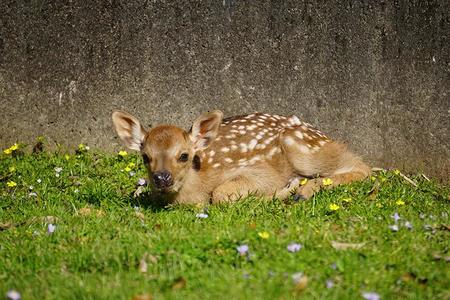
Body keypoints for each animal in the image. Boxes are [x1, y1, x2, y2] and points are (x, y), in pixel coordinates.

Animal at [111, 110, 370, 204]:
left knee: (361, 166)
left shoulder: (259, 170)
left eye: (184, 155)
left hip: (301, 148)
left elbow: (221, 194)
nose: (162, 178)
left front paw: (286, 190)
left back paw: (302, 191)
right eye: (145, 157)